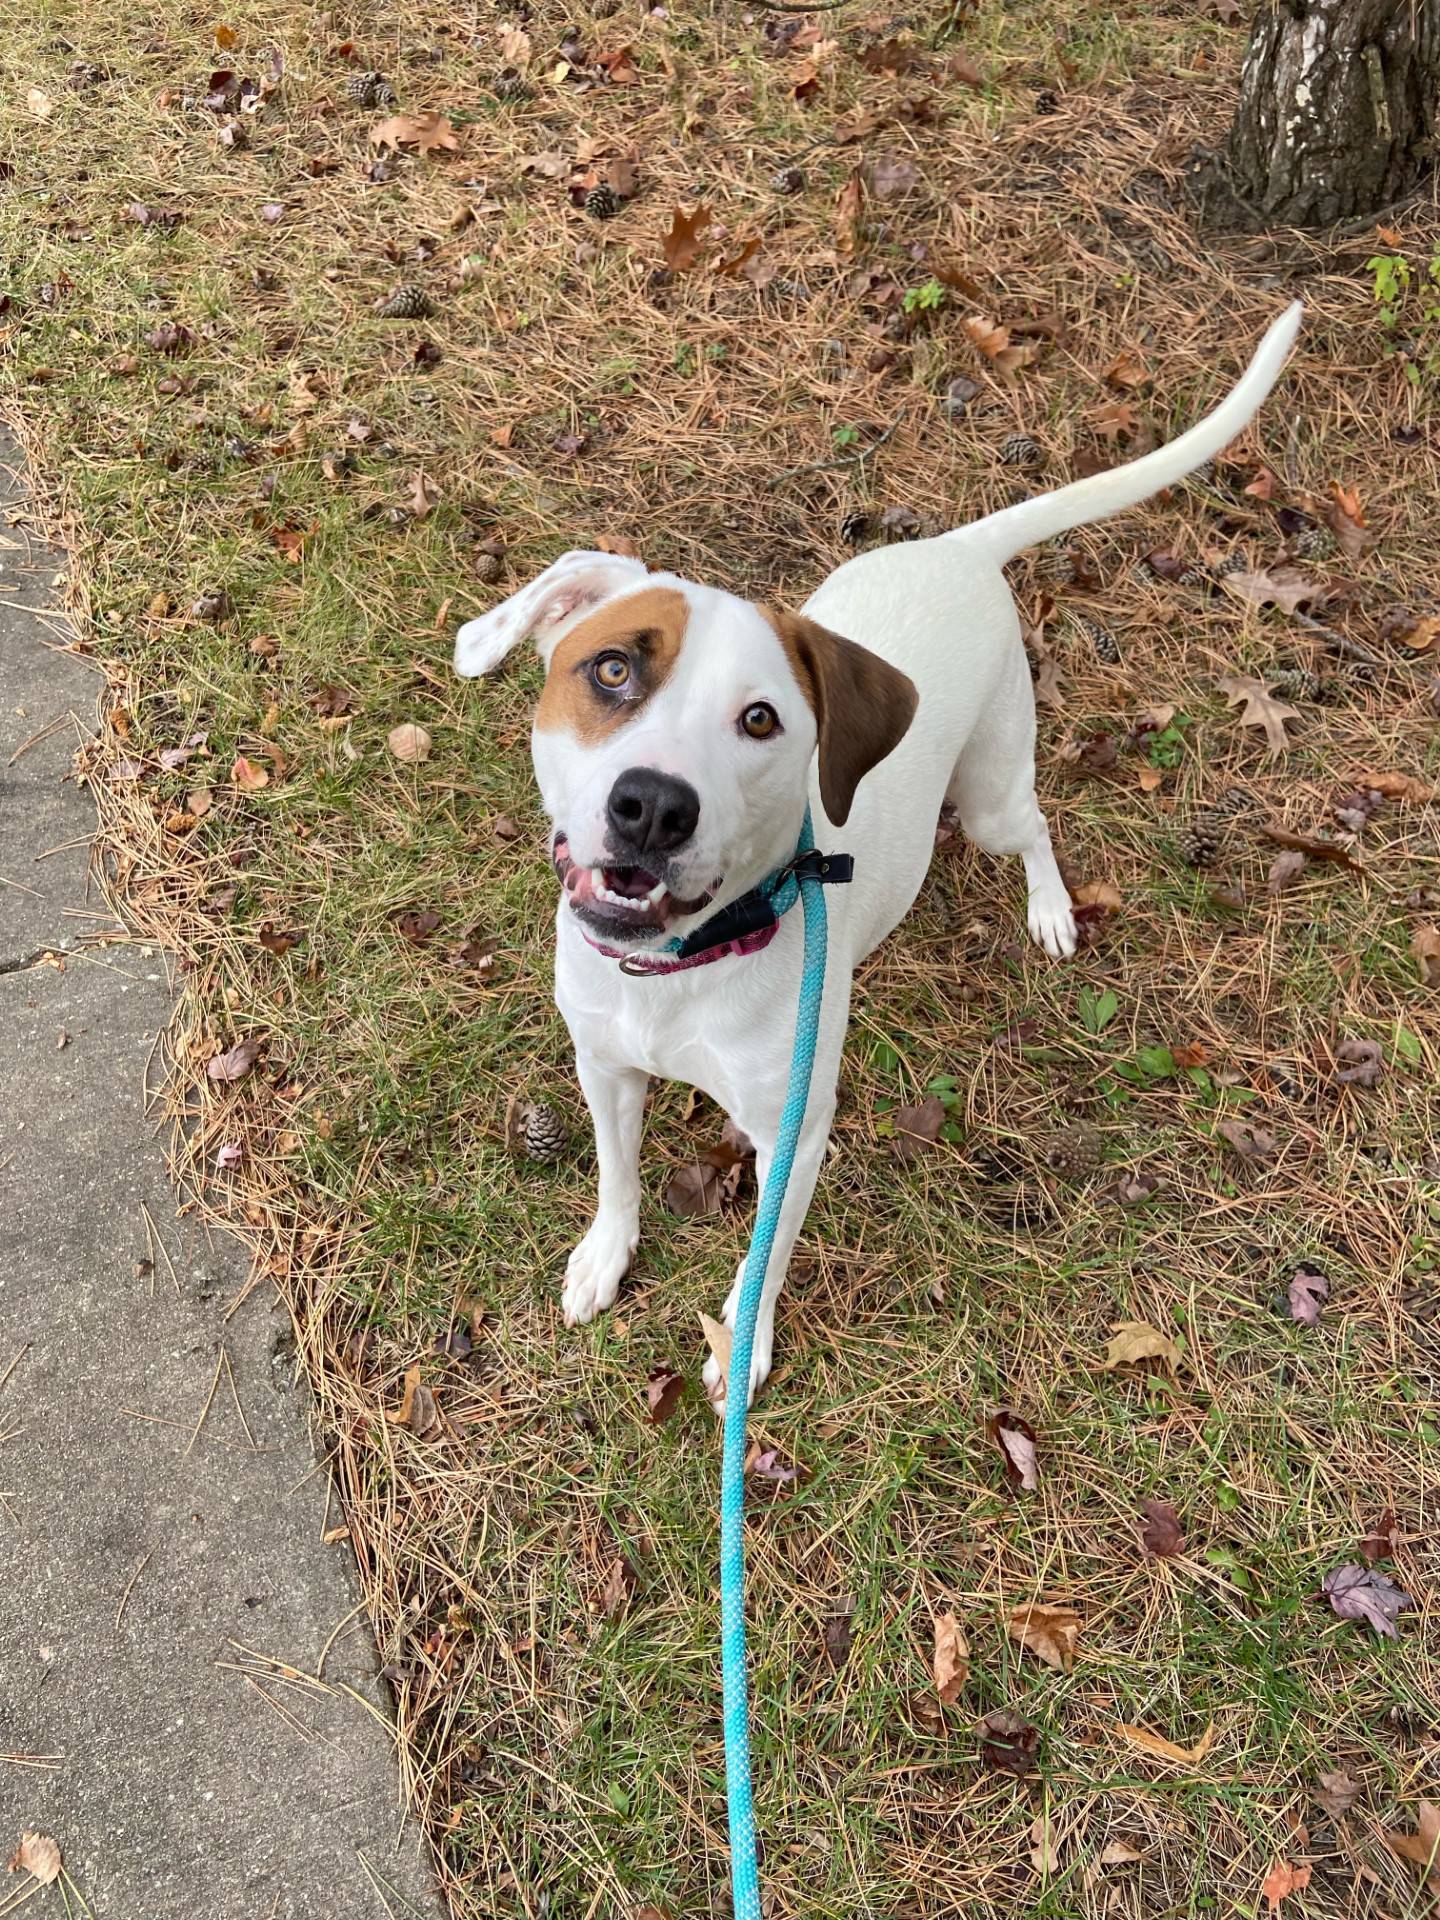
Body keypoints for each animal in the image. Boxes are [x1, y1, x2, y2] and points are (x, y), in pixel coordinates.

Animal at [456, 303, 1305, 1413]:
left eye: (760, 720)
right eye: (610, 669)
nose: (652, 808)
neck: (680, 971)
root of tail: (956, 548)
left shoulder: (795, 1135)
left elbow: (761, 1259)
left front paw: (743, 1346)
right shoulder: (604, 1065)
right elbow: (617, 1173)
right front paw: (605, 1253)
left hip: (989, 796)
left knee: (1032, 825)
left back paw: (1050, 910)